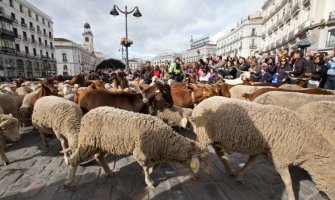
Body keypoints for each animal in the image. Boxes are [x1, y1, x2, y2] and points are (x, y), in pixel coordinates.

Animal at [65, 107, 210, 188]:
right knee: (75, 160)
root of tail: (87, 114)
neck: (165, 141)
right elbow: (145, 167)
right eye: (201, 160)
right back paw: (69, 182)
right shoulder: (140, 152)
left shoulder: (156, 153)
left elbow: (156, 166)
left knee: (99, 157)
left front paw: (150, 173)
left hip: (103, 143)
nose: (197, 177)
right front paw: (149, 182)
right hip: (88, 142)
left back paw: (109, 172)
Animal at [190, 96, 335, 199]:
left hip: (215, 138)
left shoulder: (260, 149)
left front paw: (240, 176)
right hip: (203, 135)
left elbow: (249, 164)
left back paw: (231, 171)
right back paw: (192, 175)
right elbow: (288, 181)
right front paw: (292, 197)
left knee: (220, 153)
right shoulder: (280, 158)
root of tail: (199, 105)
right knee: (195, 152)